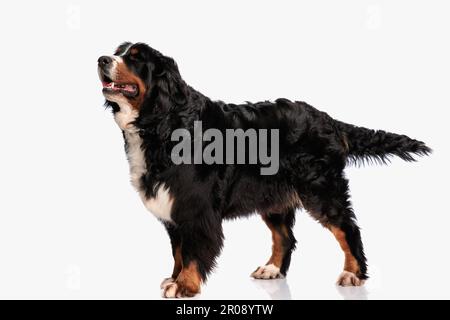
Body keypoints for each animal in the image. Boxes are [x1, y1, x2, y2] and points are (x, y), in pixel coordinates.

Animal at [97, 42, 428, 298]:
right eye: (118, 51)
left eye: (136, 57)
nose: (102, 59)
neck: (163, 121)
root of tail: (328, 120)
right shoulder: (173, 208)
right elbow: (178, 251)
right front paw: (174, 278)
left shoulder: (194, 208)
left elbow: (191, 252)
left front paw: (184, 285)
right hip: (274, 196)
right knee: (285, 237)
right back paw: (272, 269)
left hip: (321, 190)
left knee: (348, 228)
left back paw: (352, 274)